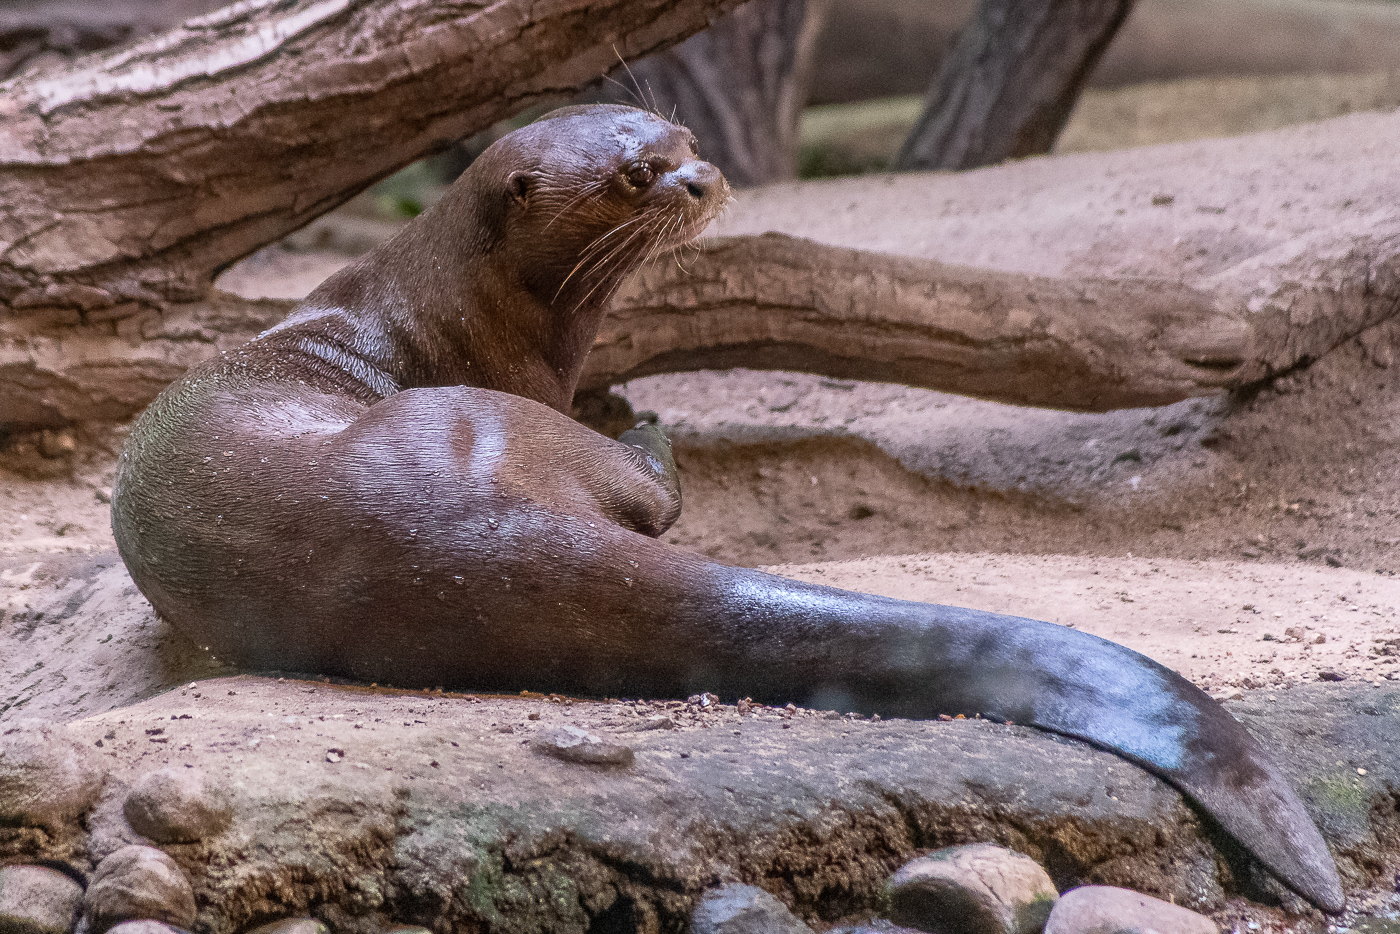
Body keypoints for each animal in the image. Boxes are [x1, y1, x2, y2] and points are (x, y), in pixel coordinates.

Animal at [111, 105, 1342, 912]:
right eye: (631, 175)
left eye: (683, 137)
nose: (699, 182)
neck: (441, 319)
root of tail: (471, 528)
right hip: (509, 438)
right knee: (654, 500)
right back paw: (643, 432)